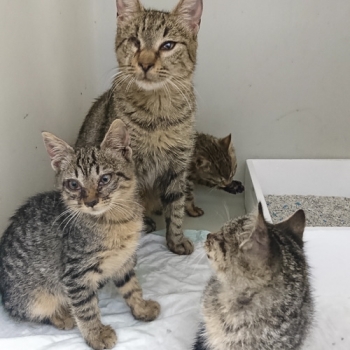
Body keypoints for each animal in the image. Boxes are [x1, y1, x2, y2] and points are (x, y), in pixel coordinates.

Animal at [0, 120, 160, 350]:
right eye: (73, 184)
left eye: (105, 179)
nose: (91, 202)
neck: (116, 221)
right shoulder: (75, 273)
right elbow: (86, 309)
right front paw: (96, 335)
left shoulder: (124, 260)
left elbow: (132, 286)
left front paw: (141, 308)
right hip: (36, 296)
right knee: (29, 312)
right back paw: (61, 315)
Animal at [75, 0, 204, 258]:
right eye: (135, 41)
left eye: (168, 45)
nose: (145, 64)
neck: (158, 114)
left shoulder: (178, 167)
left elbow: (175, 209)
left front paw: (175, 240)